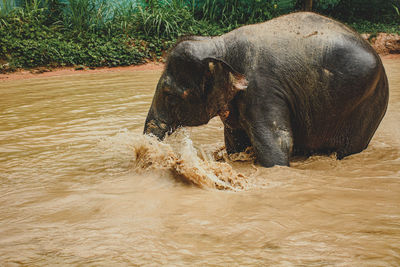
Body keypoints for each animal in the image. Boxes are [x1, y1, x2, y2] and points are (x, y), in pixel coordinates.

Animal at [143, 12, 388, 169]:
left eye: (169, 95)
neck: (220, 44)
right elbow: (235, 143)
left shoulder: (262, 89)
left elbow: (276, 145)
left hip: (365, 107)